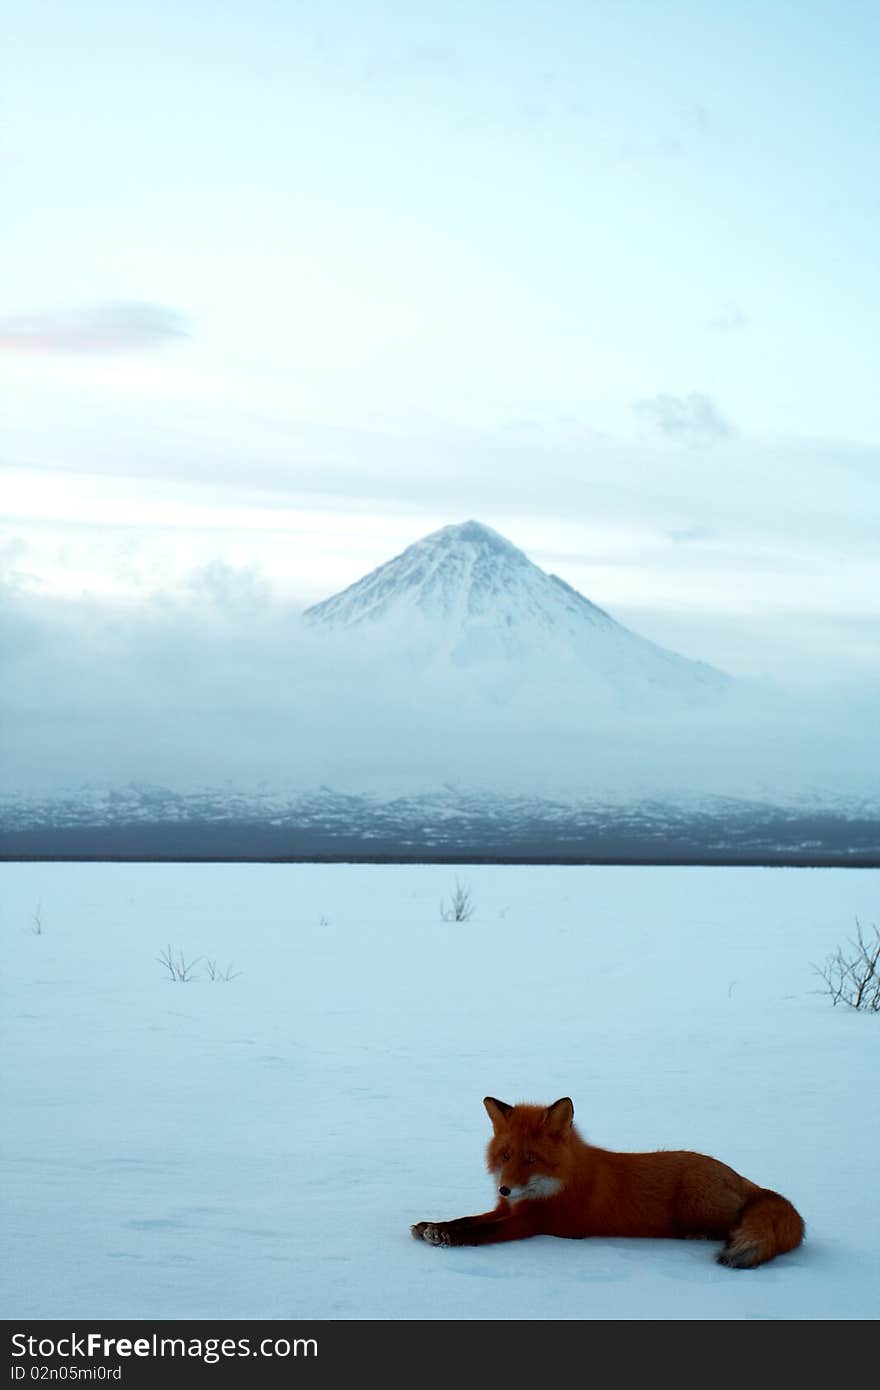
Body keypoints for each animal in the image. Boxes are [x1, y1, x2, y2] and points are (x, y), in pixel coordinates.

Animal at [411, 1095, 800, 1273]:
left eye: (532, 1159)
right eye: (505, 1156)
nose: (504, 1189)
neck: (557, 1183)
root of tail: (741, 1177)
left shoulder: (530, 1222)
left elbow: (480, 1233)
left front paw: (447, 1237)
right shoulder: (505, 1208)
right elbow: (468, 1219)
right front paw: (433, 1226)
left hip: (694, 1207)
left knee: (732, 1226)